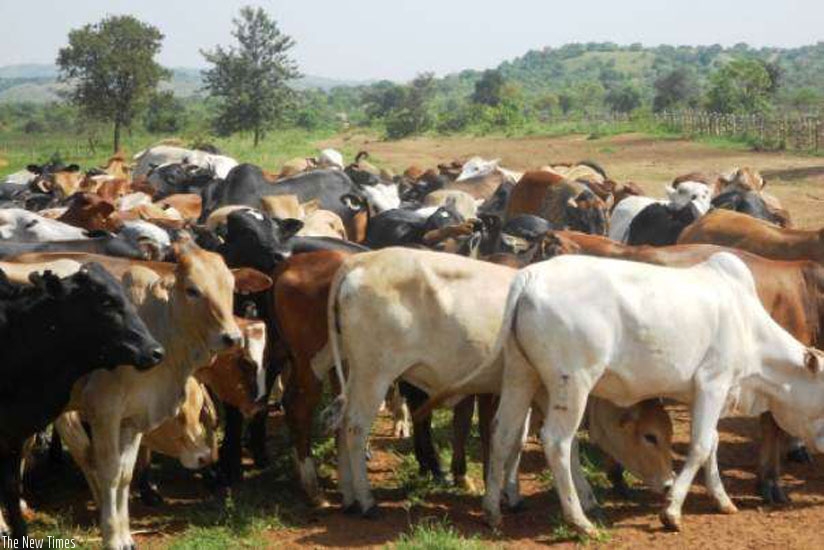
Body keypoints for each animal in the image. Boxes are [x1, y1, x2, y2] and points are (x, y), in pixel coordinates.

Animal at [325, 248, 675, 517]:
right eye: (650, 436)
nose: (669, 482)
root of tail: (361, 260)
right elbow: (545, 441)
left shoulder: (532, 392)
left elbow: (518, 440)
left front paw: (513, 494)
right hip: (375, 373)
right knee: (355, 428)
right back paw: (367, 501)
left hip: (355, 373)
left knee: (340, 425)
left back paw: (349, 498)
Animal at [465, 253, 824, 535]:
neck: (749, 327)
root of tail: (529, 277)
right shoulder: (713, 383)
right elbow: (699, 446)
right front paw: (672, 512)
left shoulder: (702, 394)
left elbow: (713, 443)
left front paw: (722, 499)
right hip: (574, 382)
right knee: (557, 442)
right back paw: (580, 521)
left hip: (520, 375)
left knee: (503, 432)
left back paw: (492, 512)